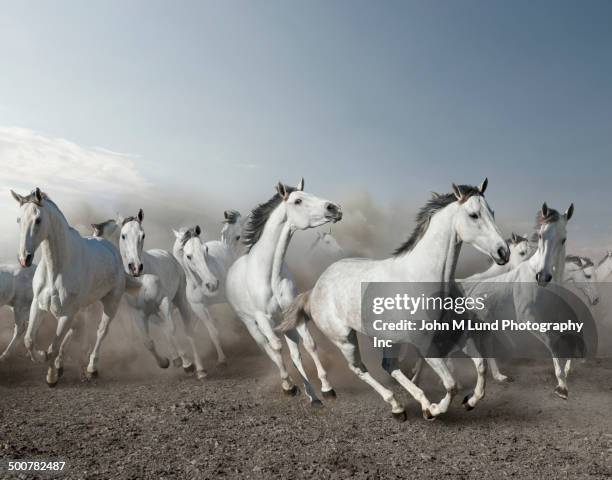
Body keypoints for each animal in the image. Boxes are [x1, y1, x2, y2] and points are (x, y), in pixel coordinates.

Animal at [12, 188, 125, 386]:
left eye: (38, 219)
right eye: (19, 219)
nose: (24, 258)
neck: (56, 270)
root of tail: (110, 246)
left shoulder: (67, 313)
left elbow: (54, 346)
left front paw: (51, 377)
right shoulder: (38, 306)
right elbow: (29, 340)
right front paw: (43, 357)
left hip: (110, 304)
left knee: (101, 332)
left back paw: (92, 368)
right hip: (86, 307)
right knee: (76, 331)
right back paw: (61, 364)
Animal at [119, 210, 208, 378]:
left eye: (143, 235)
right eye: (123, 235)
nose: (135, 267)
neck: (141, 280)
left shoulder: (164, 302)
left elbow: (171, 329)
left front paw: (186, 364)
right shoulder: (138, 313)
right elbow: (148, 342)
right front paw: (165, 362)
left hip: (180, 300)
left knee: (187, 331)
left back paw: (199, 369)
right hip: (152, 314)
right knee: (163, 327)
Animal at [227, 180, 344, 404]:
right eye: (298, 200)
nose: (334, 208)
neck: (271, 275)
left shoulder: (293, 315)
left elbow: (308, 345)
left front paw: (326, 388)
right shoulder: (263, 319)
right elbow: (276, 348)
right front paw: (290, 386)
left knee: (295, 351)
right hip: (250, 323)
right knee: (267, 347)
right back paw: (289, 384)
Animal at [280, 180, 510, 420]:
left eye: (492, 212)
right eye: (474, 215)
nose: (503, 252)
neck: (423, 278)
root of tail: (316, 288)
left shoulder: (455, 335)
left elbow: (481, 366)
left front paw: (469, 402)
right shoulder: (425, 346)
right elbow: (451, 384)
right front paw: (436, 409)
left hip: (388, 339)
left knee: (389, 366)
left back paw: (413, 405)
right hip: (344, 339)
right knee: (360, 369)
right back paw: (396, 405)